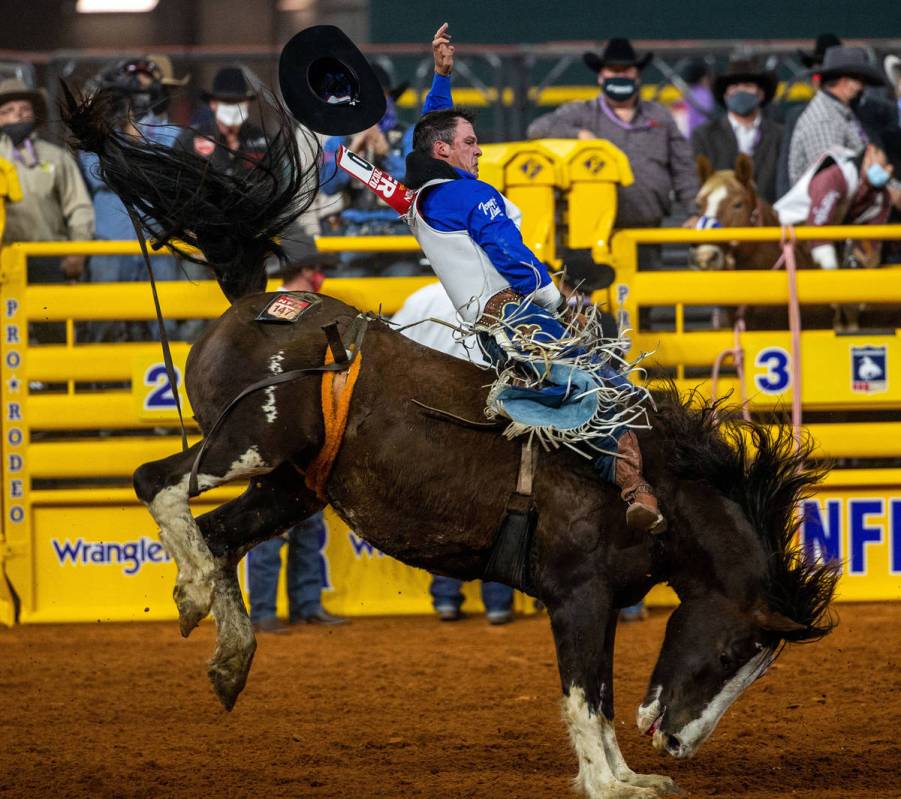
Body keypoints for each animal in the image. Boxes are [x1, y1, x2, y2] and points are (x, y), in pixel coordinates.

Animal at [65, 87, 844, 799]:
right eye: (733, 649)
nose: (680, 741)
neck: (664, 487)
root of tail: (256, 302)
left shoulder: (598, 605)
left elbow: (599, 693)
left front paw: (632, 775)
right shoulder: (578, 596)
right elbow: (582, 696)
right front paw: (607, 782)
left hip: (289, 485)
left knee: (221, 535)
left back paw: (228, 652)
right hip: (247, 439)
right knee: (158, 482)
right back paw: (195, 591)